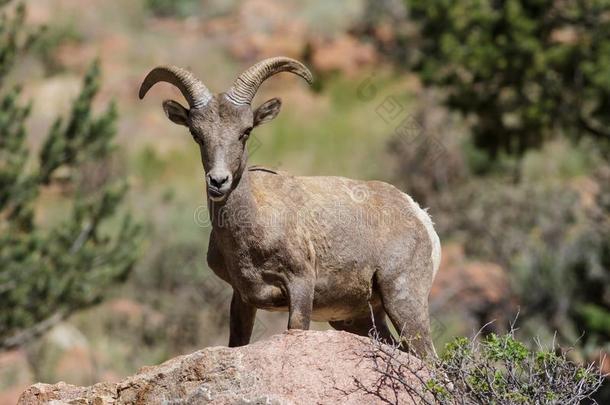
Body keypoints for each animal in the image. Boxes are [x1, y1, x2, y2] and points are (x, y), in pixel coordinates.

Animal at [140, 56, 440, 354]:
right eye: (196, 134)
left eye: (246, 132)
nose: (218, 181)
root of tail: (418, 214)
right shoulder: (242, 298)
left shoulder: (300, 286)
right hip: (359, 317)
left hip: (402, 299)